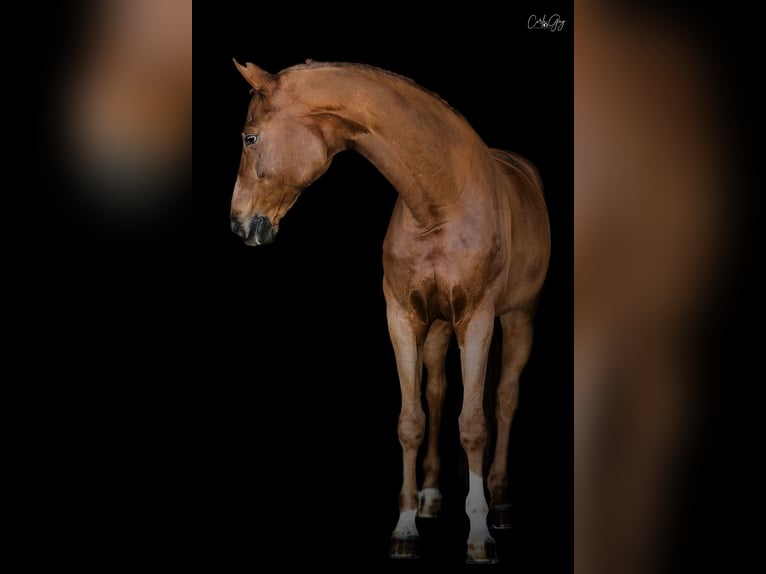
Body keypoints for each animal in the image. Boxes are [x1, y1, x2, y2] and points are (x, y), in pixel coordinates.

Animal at [229, 59, 550, 563]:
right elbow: (411, 420)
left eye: (249, 138)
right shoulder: (401, 318)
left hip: (518, 319)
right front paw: (406, 526)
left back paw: (500, 504)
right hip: (438, 329)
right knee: (437, 393)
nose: (239, 224)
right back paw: (433, 497)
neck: (441, 202)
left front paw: (480, 536)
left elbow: (474, 424)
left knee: (504, 399)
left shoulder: (477, 319)